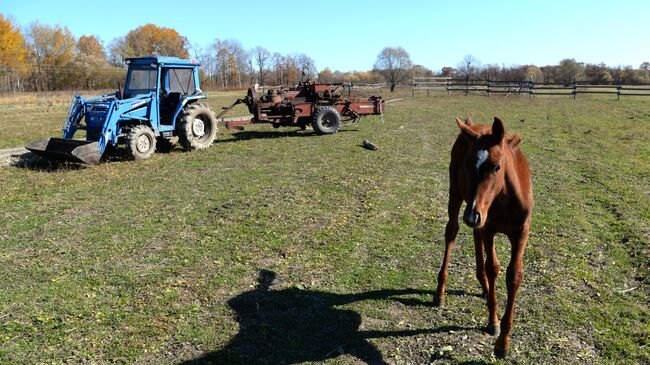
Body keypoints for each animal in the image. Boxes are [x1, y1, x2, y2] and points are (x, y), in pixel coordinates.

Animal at [432, 116, 536, 358]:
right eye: (467, 165)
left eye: (497, 167)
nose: (472, 215)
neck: (506, 197)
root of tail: (472, 124)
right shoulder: (489, 227)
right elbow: (493, 267)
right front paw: (493, 321)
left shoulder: (521, 233)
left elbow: (514, 275)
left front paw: (504, 343)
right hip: (457, 196)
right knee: (452, 231)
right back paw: (441, 292)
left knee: (475, 235)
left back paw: (484, 287)